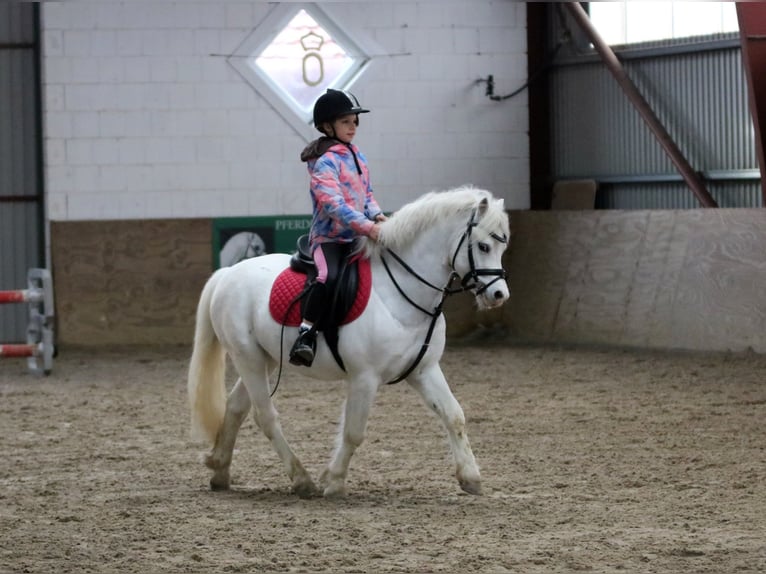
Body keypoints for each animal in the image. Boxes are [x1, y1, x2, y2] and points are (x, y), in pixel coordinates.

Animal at [188, 188, 510, 500]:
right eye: (483, 246)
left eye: (502, 248)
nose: (499, 295)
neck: (400, 295)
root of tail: (227, 273)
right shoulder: (364, 377)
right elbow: (354, 432)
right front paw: (334, 482)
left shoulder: (424, 370)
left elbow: (454, 415)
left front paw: (470, 478)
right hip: (248, 358)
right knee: (265, 416)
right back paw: (301, 480)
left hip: (263, 359)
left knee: (235, 407)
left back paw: (219, 470)